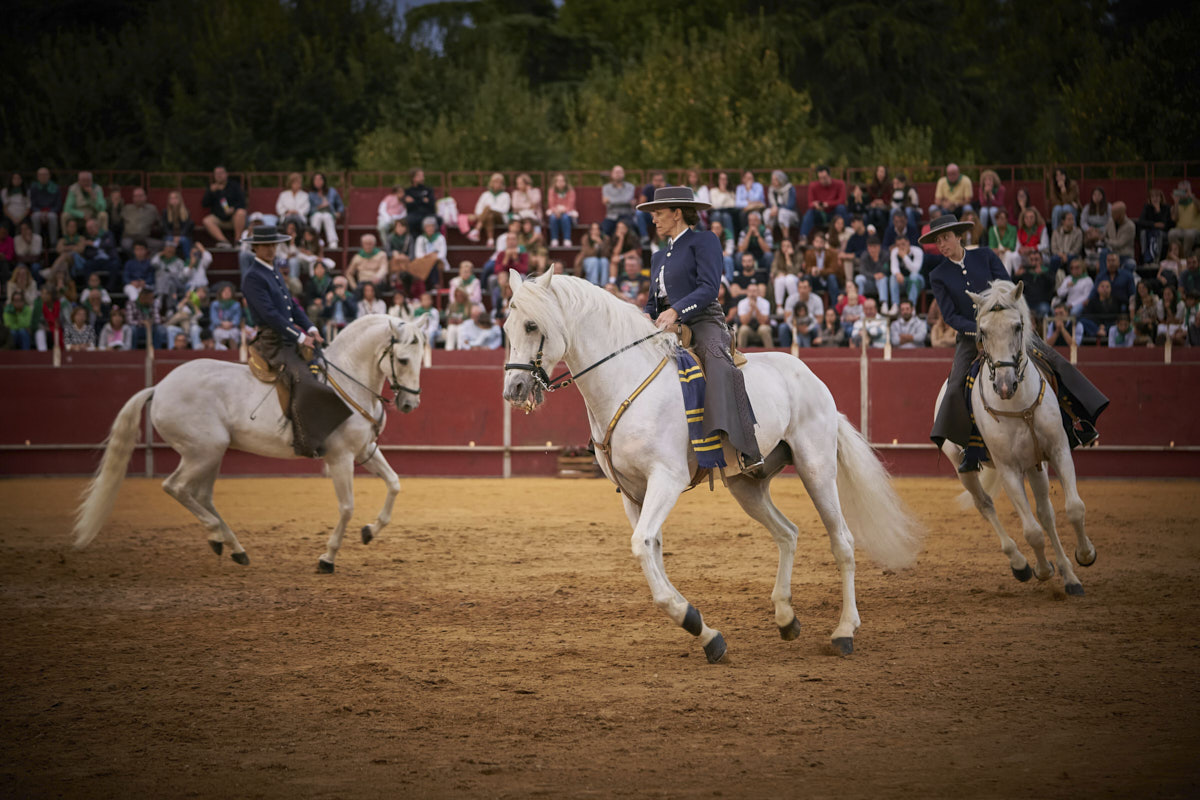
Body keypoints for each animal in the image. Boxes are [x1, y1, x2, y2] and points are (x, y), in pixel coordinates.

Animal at [72, 315, 427, 572]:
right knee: (176, 487)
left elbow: (395, 484)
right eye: (403, 360)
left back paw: (234, 548)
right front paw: (327, 558)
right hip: (203, 452)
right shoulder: (340, 458)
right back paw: (216, 534)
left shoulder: (365, 451)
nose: (410, 404)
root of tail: (159, 387)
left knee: (201, 495)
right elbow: (347, 507)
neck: (348, 382)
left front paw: (370, 531)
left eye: (421, 357)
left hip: (211, 454)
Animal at [501, 269, 921, 663]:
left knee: (842, 542)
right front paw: (704, 631)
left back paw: (844, 632)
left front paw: (694, 622)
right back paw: (786, 618)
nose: (513, 390)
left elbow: (642, 544)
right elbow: (650, 548)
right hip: (748, 485)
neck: (626, 382)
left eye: (532, 325)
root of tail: (812, 379)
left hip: (816, 467)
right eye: (506, 327)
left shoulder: (666, 479)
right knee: (787, 533)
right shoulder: (633, 493)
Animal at [935, 280, 1095, 596]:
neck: (1019, 406)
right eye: (982, 331)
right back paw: (1020, 564)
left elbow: (1073, 508)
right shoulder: (1008, 469)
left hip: (1034, 464)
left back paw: (1068, 574)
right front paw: (1042, 570)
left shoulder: (1058, 450)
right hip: (963, 467)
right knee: (986, 505)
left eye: (1018, 326)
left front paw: (1084, 556)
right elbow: (1031, 531)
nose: (1005, 386)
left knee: (1046, 513)